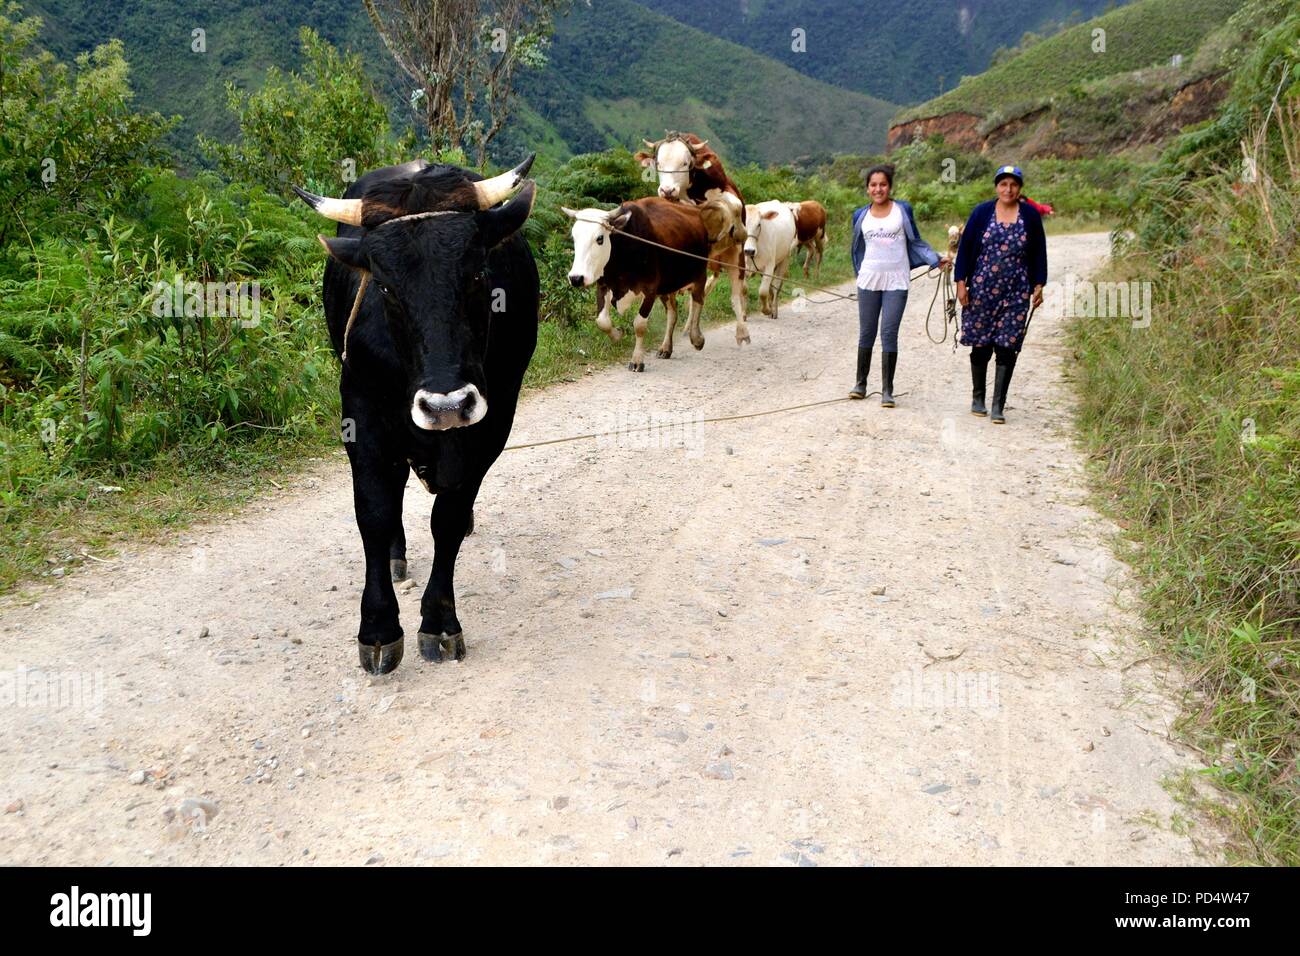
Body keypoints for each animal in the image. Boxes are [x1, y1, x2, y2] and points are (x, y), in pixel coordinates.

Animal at [296, 158, 538, 671]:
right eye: (386, 286)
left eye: (477, 272)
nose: (446, 404)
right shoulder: (361, 413)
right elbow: (374, 510)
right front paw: (378, 629)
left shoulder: (494, 419)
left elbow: (449, 517)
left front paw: (440, 622)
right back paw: (395, 553)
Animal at [564, 196, 712, 371]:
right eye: (574, 238)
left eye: (599, 238)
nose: (576, 278)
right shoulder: (603, 285)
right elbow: (602, 321)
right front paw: (618, 334)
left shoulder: (650, 289)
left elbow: (639, 325)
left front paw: (636, 360)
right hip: (667, 286)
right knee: (672, 313)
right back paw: (666, 348)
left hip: (699, 275)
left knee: (698, 302)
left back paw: (696, 338)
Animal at [631, 130, 754, 345]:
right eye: (658, 163)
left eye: (685, 163)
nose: (667, 190)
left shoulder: (728, 193)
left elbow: (732, 205)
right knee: (686, 299)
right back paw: (680, 334)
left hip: (735, 256)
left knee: (736, 292)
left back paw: (742, 332)